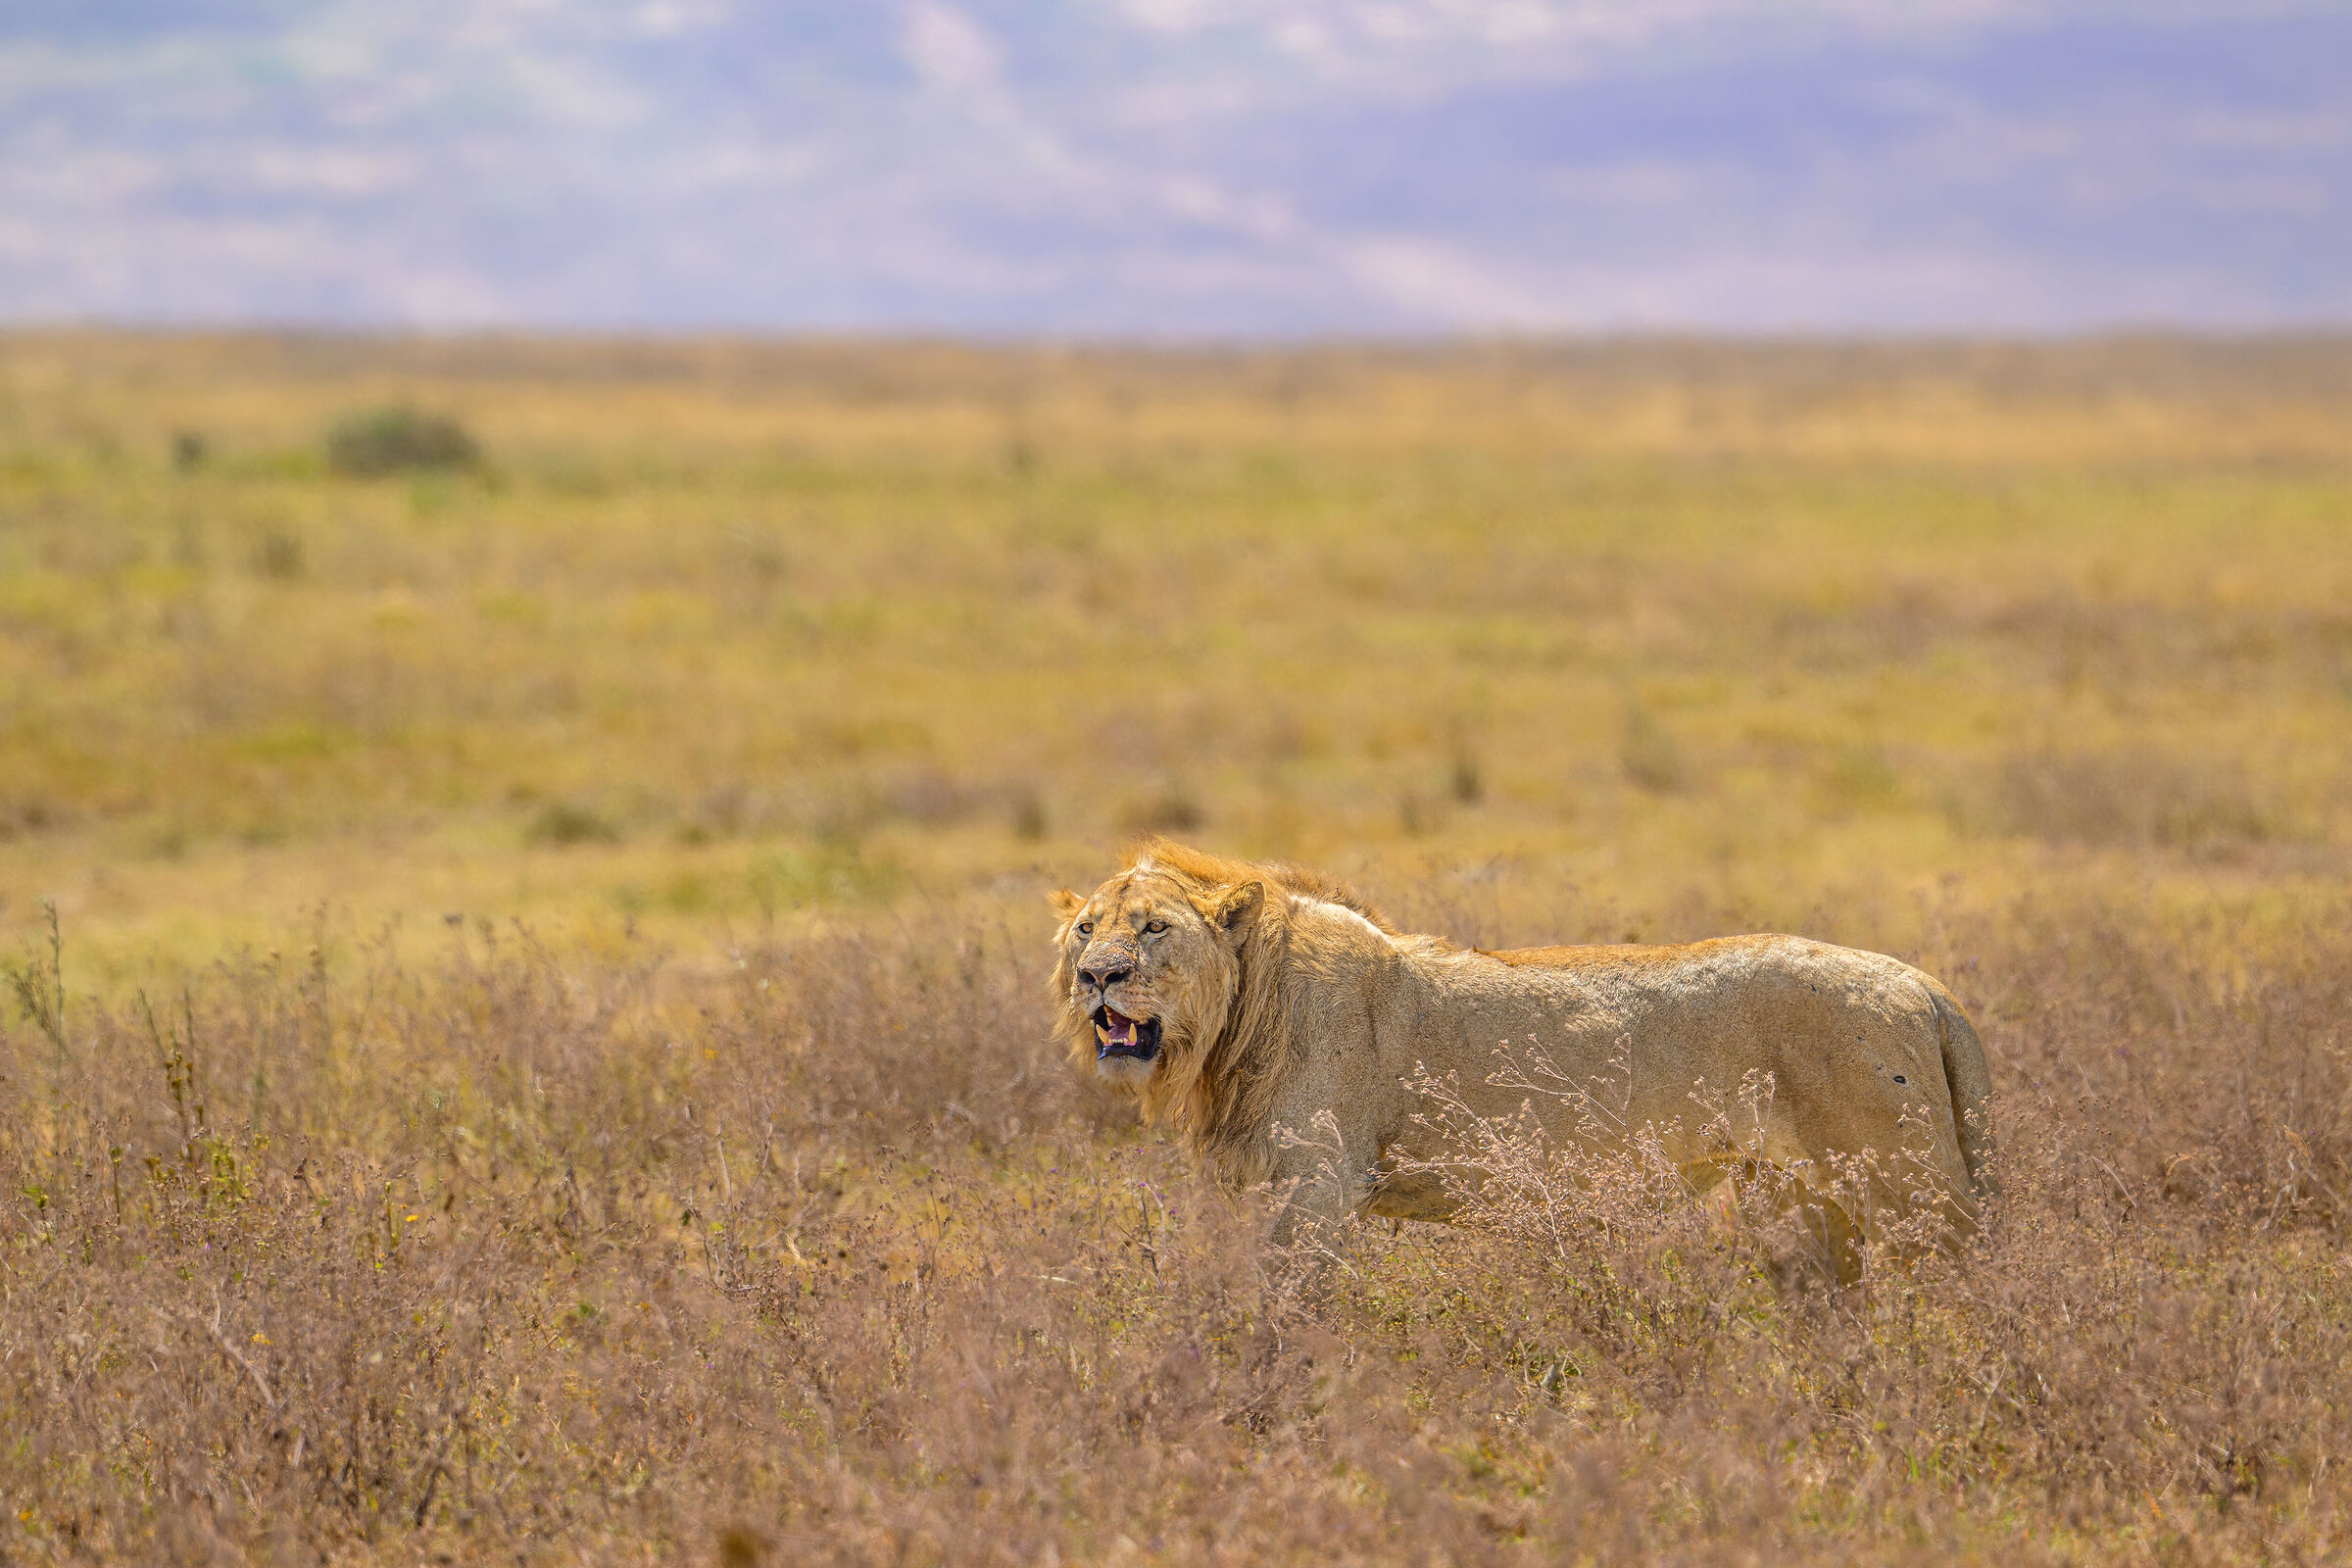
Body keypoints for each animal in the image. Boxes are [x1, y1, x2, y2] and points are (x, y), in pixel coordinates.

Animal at [1050, 840, 1995, 1282]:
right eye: (1086, 928)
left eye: (1153, 928)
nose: (1099, 976)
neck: (1232, 1029)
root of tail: (1923, 985)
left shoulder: (1316, 1186)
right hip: (1797, 1197)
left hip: (1910, 1188)